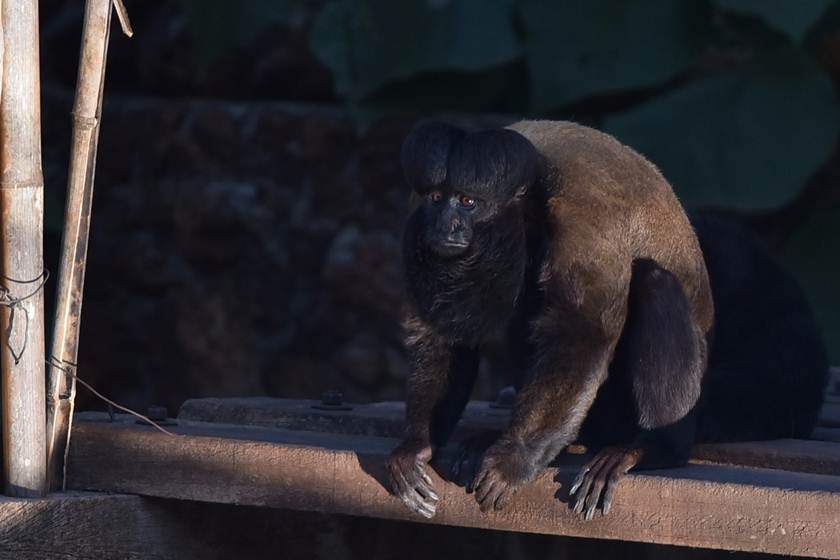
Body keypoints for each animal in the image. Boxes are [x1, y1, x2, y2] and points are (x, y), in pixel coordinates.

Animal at [386, 119, 828, 520]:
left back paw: (652, 448)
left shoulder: (584, 220)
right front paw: (417, 446)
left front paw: (514, 461)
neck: (526, 204)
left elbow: (583, 334)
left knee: (653, 281)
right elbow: (438, 333)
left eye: (467, 202)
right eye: (437, 197)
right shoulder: (414, 217)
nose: (445, 225)